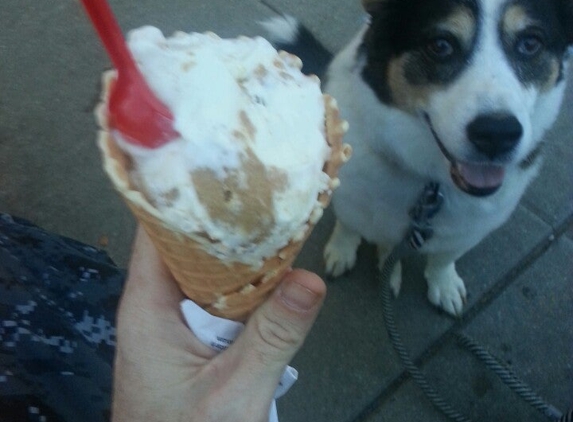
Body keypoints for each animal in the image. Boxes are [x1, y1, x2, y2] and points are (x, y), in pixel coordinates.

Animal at [264, 0, 572, 314]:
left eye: (531, 43)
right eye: (440, 45)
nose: (497, 134)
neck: (432, 186)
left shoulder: (471, 229)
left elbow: (444, 258)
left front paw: (444, 284)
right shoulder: (354, 200)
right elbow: (352, 228)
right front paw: (344, 250)